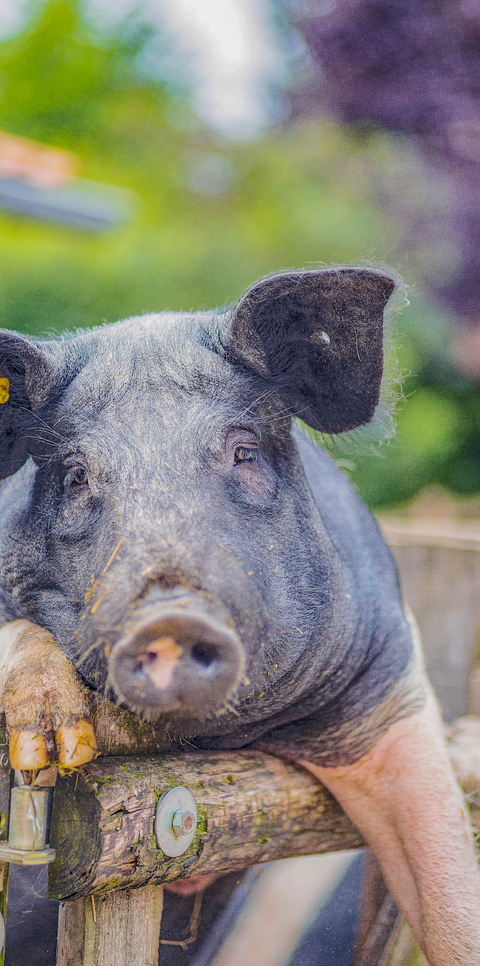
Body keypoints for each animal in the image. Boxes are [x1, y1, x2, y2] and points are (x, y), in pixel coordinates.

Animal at [0, 266, 480, 966]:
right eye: (75, 476)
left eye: (244, 453)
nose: (171, 618)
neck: (207, 740)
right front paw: (51, 746)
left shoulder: (386, 688)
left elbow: (450, 891)